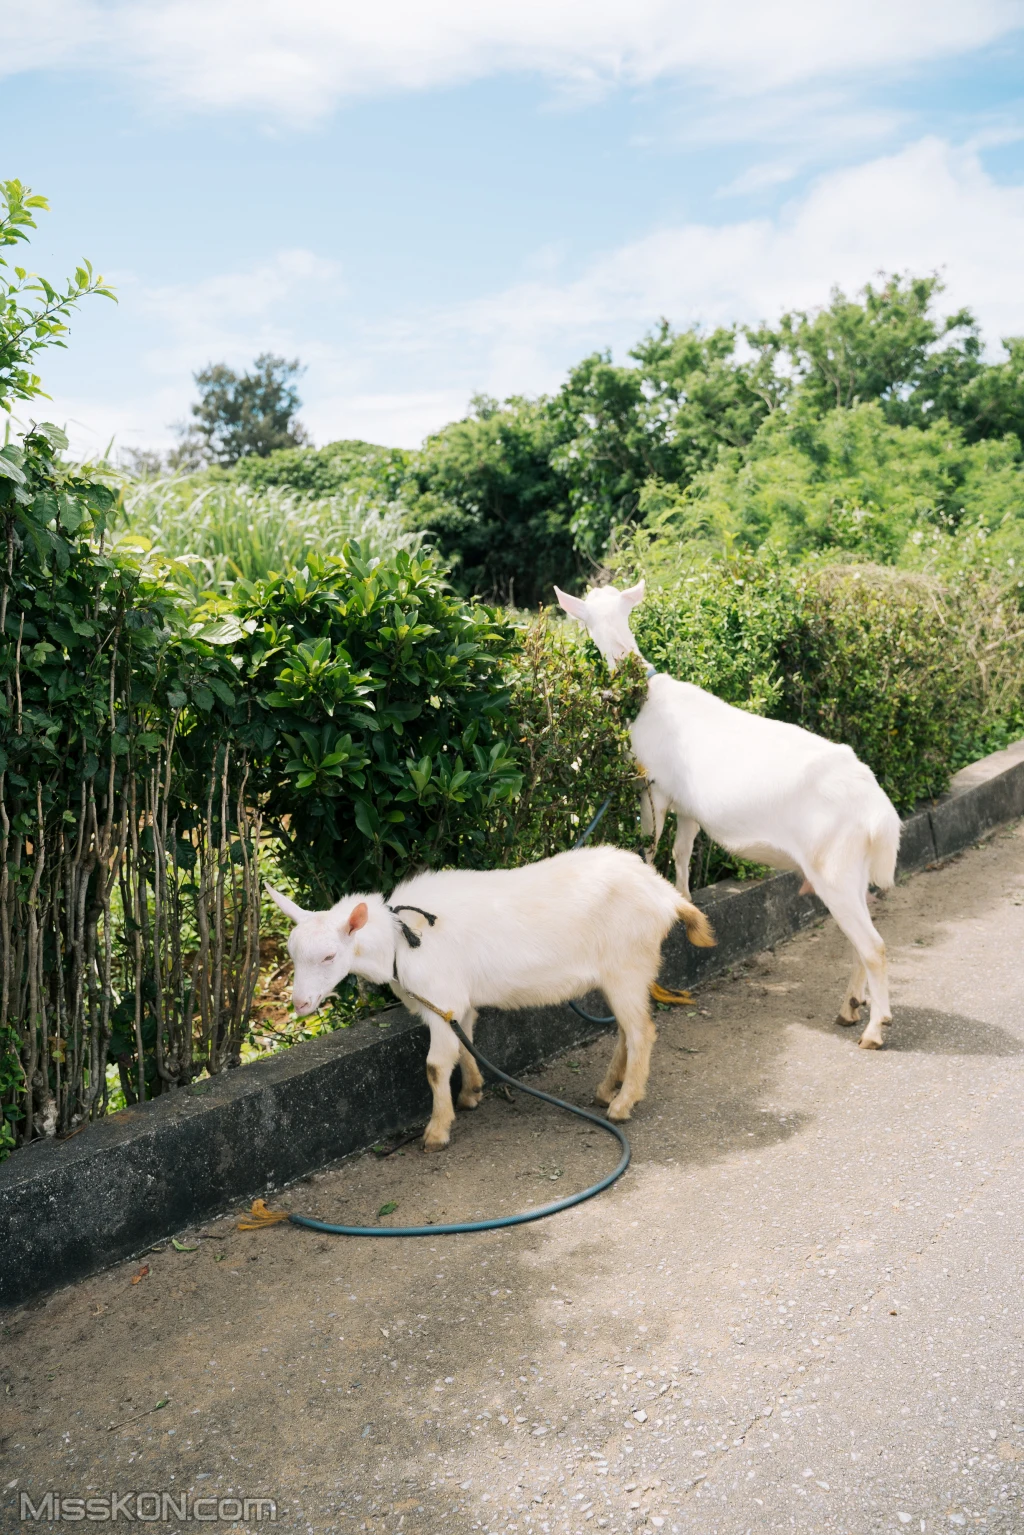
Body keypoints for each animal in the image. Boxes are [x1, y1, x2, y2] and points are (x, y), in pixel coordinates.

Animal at [264, 853, 712, 1154]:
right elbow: (464, 1043)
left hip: (626, 964)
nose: (300, 1003)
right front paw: (471, 1092)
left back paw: (622, 1104)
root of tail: (666, 895)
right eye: (291, 953)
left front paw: (437, 1131)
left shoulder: (439, 996)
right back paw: (606, 1090)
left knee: (642, 1032)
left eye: (328, 957)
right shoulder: (455, 1002)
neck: (400, 939)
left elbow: (434, 1065)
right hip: (626, 972)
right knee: (627, 1028)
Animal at [555, 580, 902, 1049]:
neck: (643, 695)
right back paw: (849, 1009)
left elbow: (650, 844)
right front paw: (684, 899)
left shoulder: (653, 787)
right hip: (853, 869)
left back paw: (874, 1029)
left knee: (874, 947)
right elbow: (682, 852)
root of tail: (880, 813)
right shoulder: (688, 807)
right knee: (858, 942)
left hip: (835, 865)